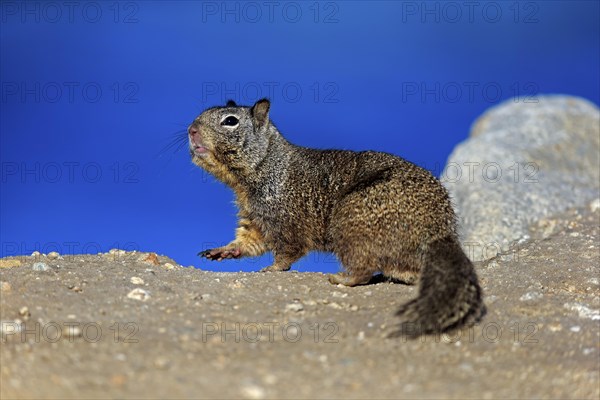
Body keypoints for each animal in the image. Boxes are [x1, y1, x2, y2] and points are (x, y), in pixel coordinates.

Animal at [190, 98, 486, 336]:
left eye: (230, 121)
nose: (191, 130)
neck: (264, 168)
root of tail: (440, 232)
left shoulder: (285, 216)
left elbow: (288, 249)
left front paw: (272, 268)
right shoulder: (255, 218)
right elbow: (248, 241)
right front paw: (220, 250)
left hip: (351, 222)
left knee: (363, 270)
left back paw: (342, 279)